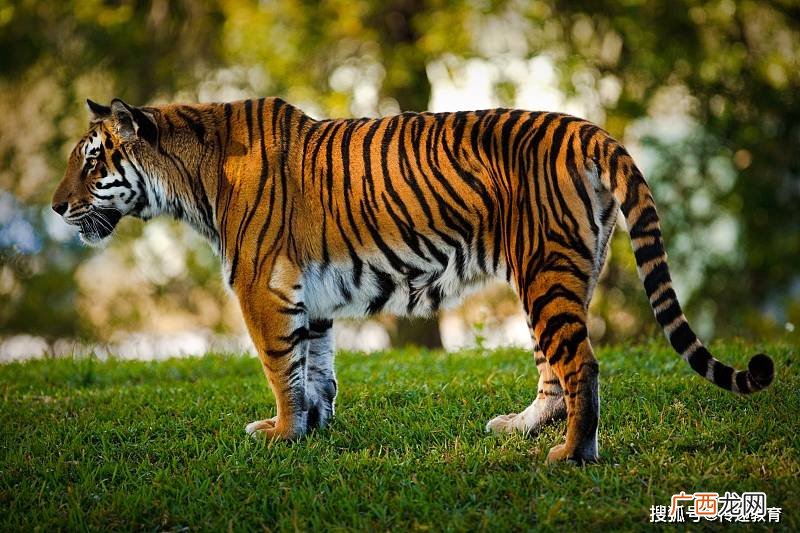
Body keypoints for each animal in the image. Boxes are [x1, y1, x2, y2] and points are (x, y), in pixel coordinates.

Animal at [52, 97, 774, 463]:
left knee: (582, 365)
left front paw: (280, 433)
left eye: (91, 162)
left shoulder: (262, 287)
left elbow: (280, 368)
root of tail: (587, 128)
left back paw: (572, 455)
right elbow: (316, 368)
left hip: (543, 272)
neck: (189, 178)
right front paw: (312, 429)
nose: (55, 207)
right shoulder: (308, 294)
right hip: (559, 273)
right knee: (555, 369)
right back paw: (521, 428)